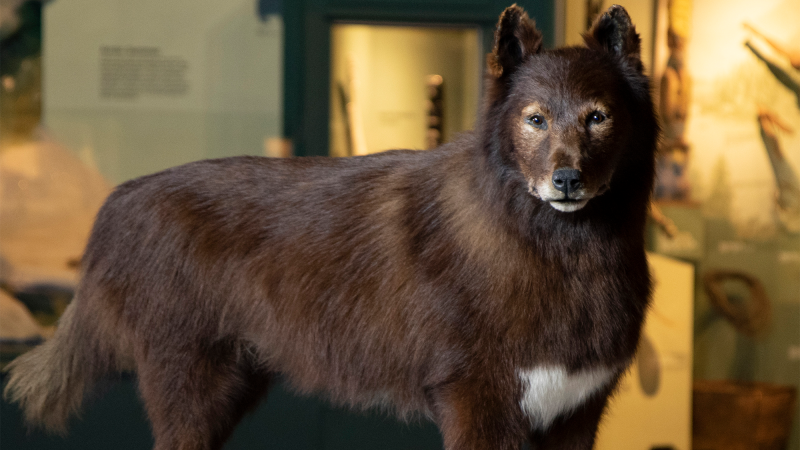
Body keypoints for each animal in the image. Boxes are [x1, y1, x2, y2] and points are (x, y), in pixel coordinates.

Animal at [4, 4, 656, 450]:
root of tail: (119, 199)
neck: (560, 260)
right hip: (191, 397)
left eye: (597, 117)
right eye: (536, 119)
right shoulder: (479, 407)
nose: (566, 179)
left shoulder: (575, 415)